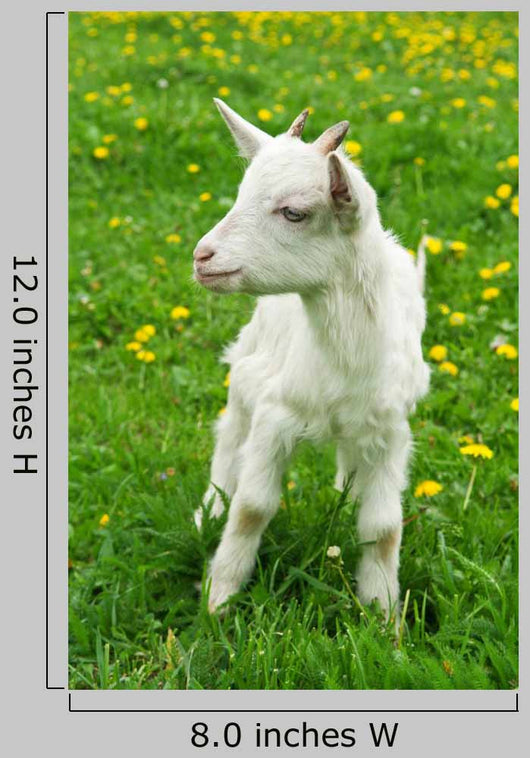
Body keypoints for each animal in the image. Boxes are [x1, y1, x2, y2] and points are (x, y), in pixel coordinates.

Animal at [192, 99, 430, 620]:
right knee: (229, 438)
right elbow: (252, 507)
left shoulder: (390, 432)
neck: (344, 363)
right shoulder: (274, 414)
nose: (202, 256)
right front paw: (219, 599)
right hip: (248, 366)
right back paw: (208, 512)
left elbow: (384, 528)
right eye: (241, 193)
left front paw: (384, 615)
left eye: (294, 212)